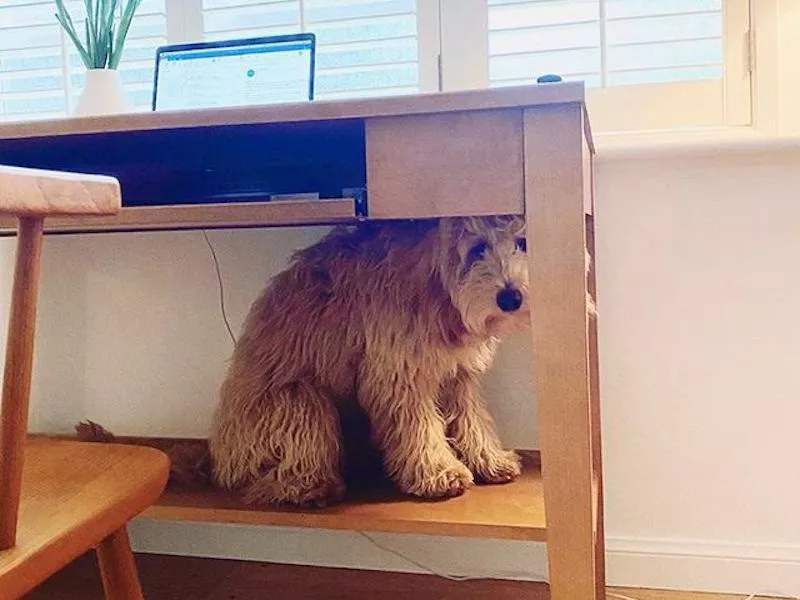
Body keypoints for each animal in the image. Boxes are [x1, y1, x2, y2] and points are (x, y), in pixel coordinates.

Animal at [211, 216, 532, 506]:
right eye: (478, 248)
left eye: (523, 242)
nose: (510, 298)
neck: (438, 284)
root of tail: (221, 459)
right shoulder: (398, 373)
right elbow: (419, 426)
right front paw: (438, 472)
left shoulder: (457, 375)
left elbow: (471, 419)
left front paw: (490, 459)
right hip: (298, 401)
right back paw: (314, 488)